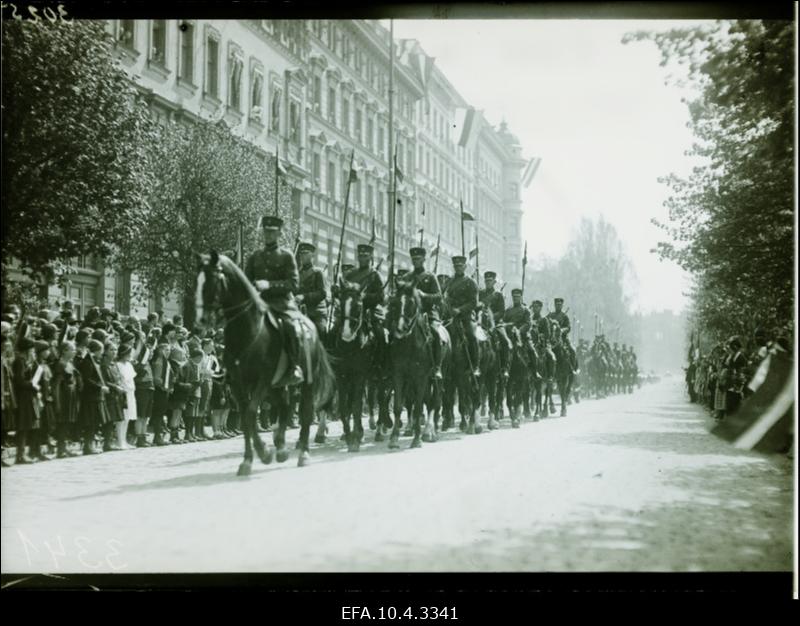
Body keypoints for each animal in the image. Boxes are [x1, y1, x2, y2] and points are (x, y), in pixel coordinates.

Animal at [197, 251, 334, 470]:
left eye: (213, 280)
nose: (202, 320)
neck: (247, 331)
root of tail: (311, 326)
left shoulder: (262, 380)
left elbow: (252, 412)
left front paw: (263, 452)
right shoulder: (238, 384)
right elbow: (246, 416)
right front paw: (249, 459)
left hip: (306, 381)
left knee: (305, 411)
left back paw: (303, 452)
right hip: (279, 385)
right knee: (285, 406)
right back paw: (281, 446)